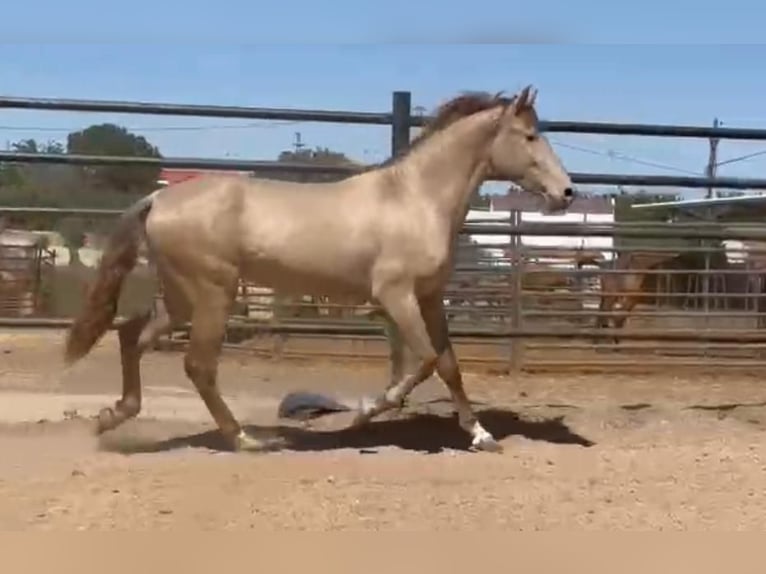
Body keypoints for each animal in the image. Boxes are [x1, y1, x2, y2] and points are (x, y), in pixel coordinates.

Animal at [64, 86, 576, 454]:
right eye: (530, 136)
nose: (566, 192)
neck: (415, 198)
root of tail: (158, 198)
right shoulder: (395, 295)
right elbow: (425, 360)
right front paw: (368, 409)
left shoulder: (430, 296)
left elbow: (450, 365)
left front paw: (481, 435)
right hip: (213, 292)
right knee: (198, 365)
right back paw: (246, 439)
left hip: (182, 297)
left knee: (132, 336)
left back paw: (112, 416)